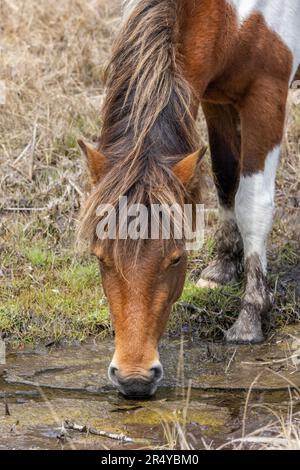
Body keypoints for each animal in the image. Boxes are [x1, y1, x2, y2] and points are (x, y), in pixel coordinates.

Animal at [78, 0, 300, 396]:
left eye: (177, 258)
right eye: (100, 258)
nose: (135, 378)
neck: (234, 15)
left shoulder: (266, 95)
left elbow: (252, 203)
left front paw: (250, 316)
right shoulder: (217, 96)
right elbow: (225, 178)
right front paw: (222, 268)